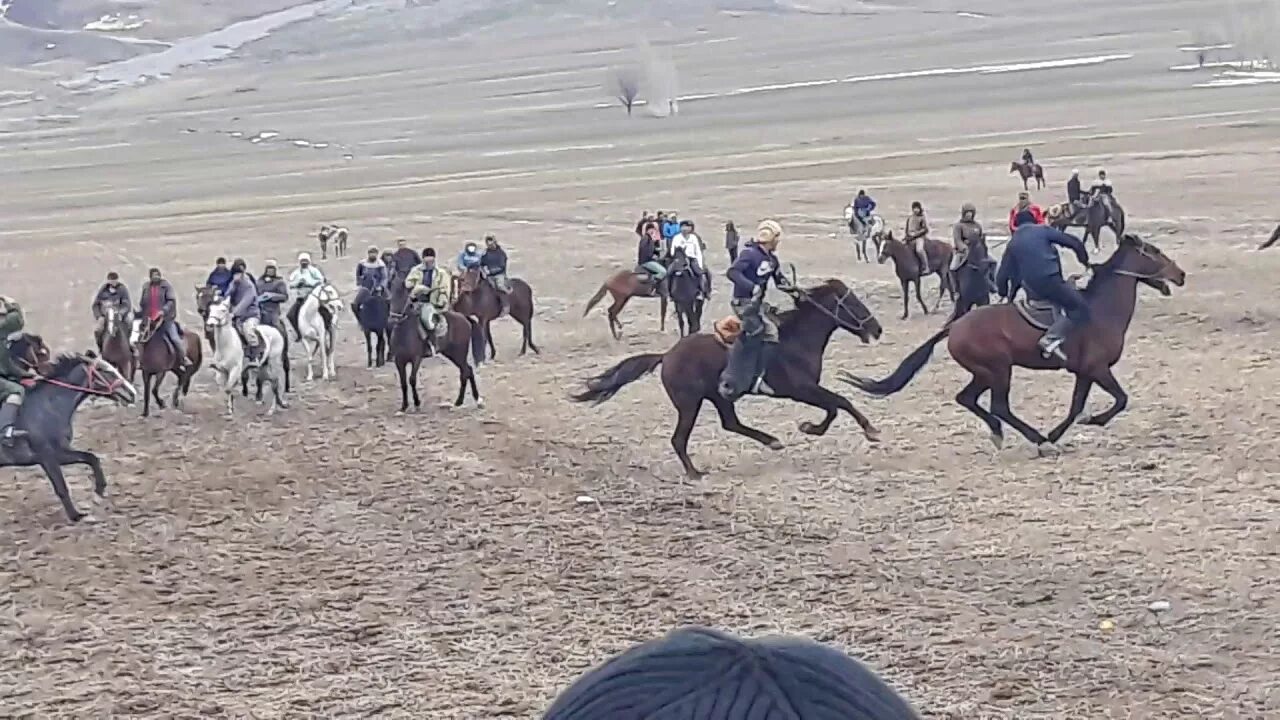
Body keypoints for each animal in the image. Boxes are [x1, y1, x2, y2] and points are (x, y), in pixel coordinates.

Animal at [0, 348, 137, 520]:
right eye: (103, 370)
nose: (132, 393)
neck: (47, 407)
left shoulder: (60, 453)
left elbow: (91, 458)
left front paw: (99, 491)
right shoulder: (47, 457)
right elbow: (61, 488)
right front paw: (75, 515)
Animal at [573, 279, 885, 476]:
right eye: (851, 302)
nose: (877, 329)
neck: (795, 339)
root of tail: (667, 356)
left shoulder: (807, 390)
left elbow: (834, 407)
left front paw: (812, 428)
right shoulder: (802, 389)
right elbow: (839, 403)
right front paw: (868, 430)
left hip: (720, 396)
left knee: (730, 423)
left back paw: (771, 441)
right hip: (690, 404)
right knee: (679, 439)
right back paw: (695, 473)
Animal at [839, 233, 1187, 450]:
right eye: (1154, 252)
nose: (1180, 274)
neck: (1101, 309)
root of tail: (955, 327)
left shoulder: (1084, 372)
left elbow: (1076, 407)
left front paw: (1059, 432)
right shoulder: (1098, 369)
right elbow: (1120, 400)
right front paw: (1087, 423)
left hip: (984, 373)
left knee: (967, 399)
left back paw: (1000, 432)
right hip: (998, 370)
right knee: (999, 406)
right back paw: (1035, 439)